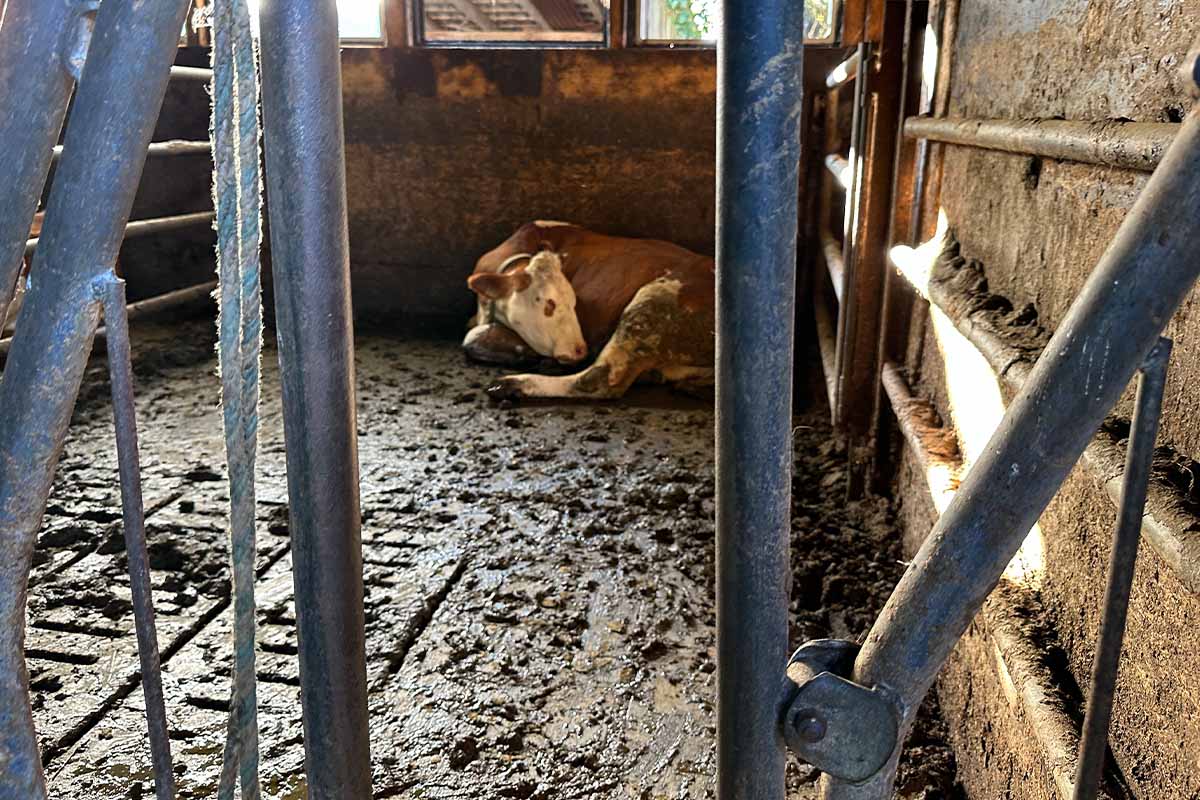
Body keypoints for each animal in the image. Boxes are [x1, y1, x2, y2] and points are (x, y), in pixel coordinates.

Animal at [463, 221, 710, 400]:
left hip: (650, 305)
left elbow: (470, 336)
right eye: (549, 304)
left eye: (574, 301)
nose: (580, 349)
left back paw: (511, 384)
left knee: (598, 381)